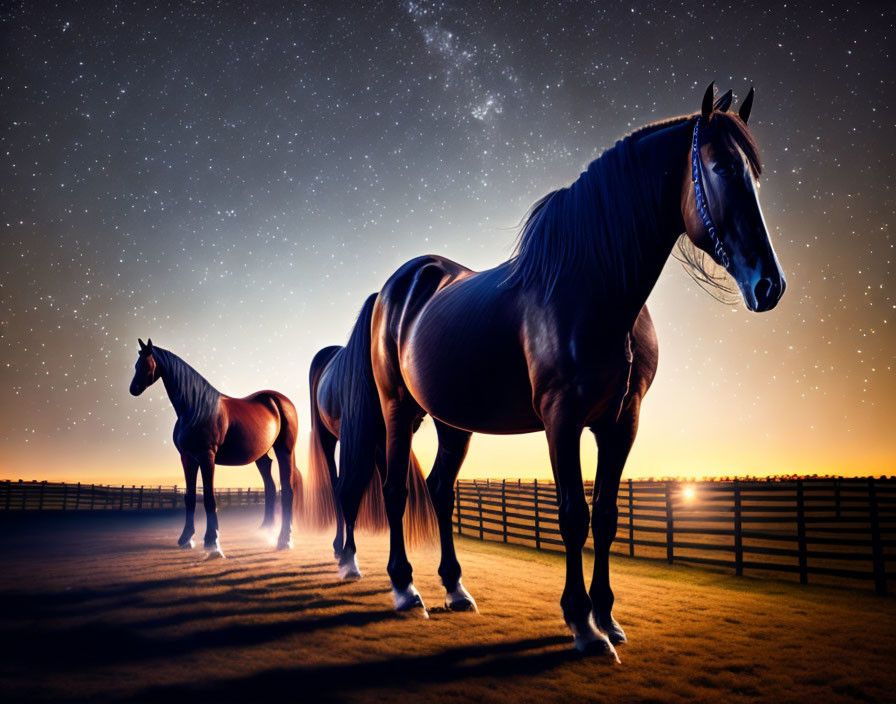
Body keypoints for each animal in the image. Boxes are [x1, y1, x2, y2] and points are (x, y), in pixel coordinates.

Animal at [128, 338, 300, 560]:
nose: (133, 388)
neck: (194, 408)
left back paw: (284, 540)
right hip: (261, 457)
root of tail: (283, 401)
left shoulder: (206, 456)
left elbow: (209, 498)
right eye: (136, 364)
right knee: (270, 487)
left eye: (145, 364)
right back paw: (266, 531)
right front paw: (186, 539)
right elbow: (190, 497)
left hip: (285, 450)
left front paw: (212, 543)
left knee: (287, 489)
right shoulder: (187, 458)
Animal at [304, 294, 438, 580]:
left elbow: (393, 490)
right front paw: (349, 559)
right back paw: (338, 547)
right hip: (329, 438)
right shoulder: (355, 437)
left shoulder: (388, 436)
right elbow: (349, 489)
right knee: (336, 484)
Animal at [364, 84, 784, 660]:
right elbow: (572, 515)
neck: (594, 286)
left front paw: (608, 618)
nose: (770, 285)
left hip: (453, 422)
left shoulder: (621, 422)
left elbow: (605, 516)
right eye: (720, 167)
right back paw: (406, 590)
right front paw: (583, 625)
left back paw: (455, 589)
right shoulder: (561, 419)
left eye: (756, 177)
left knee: (440, 489)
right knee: (396, 490)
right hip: (398, 410)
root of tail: (399, 284)